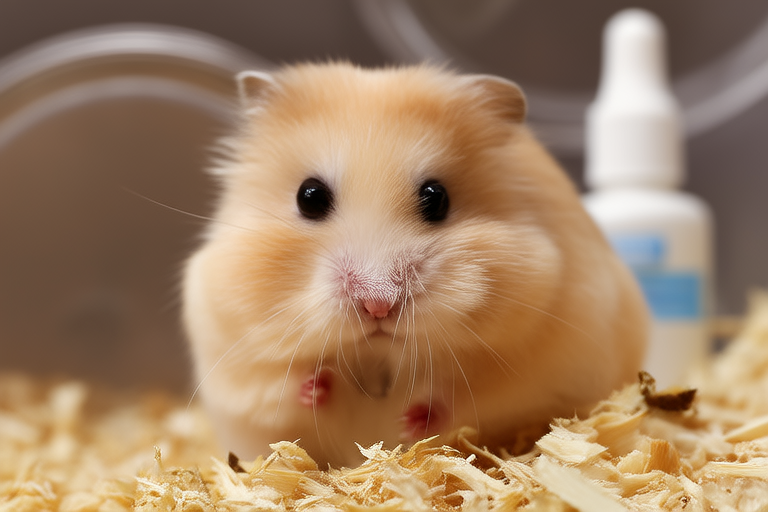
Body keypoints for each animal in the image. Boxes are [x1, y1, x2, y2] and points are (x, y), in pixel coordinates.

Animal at [182, 62, 648, 468]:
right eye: (309, 196)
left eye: (436, 197)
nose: (377, 305)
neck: (378, 356)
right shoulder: (234, 359)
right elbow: (281, 386)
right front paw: (319, 384)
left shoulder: (534, 360)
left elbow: (468, 397)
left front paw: (411, 420)